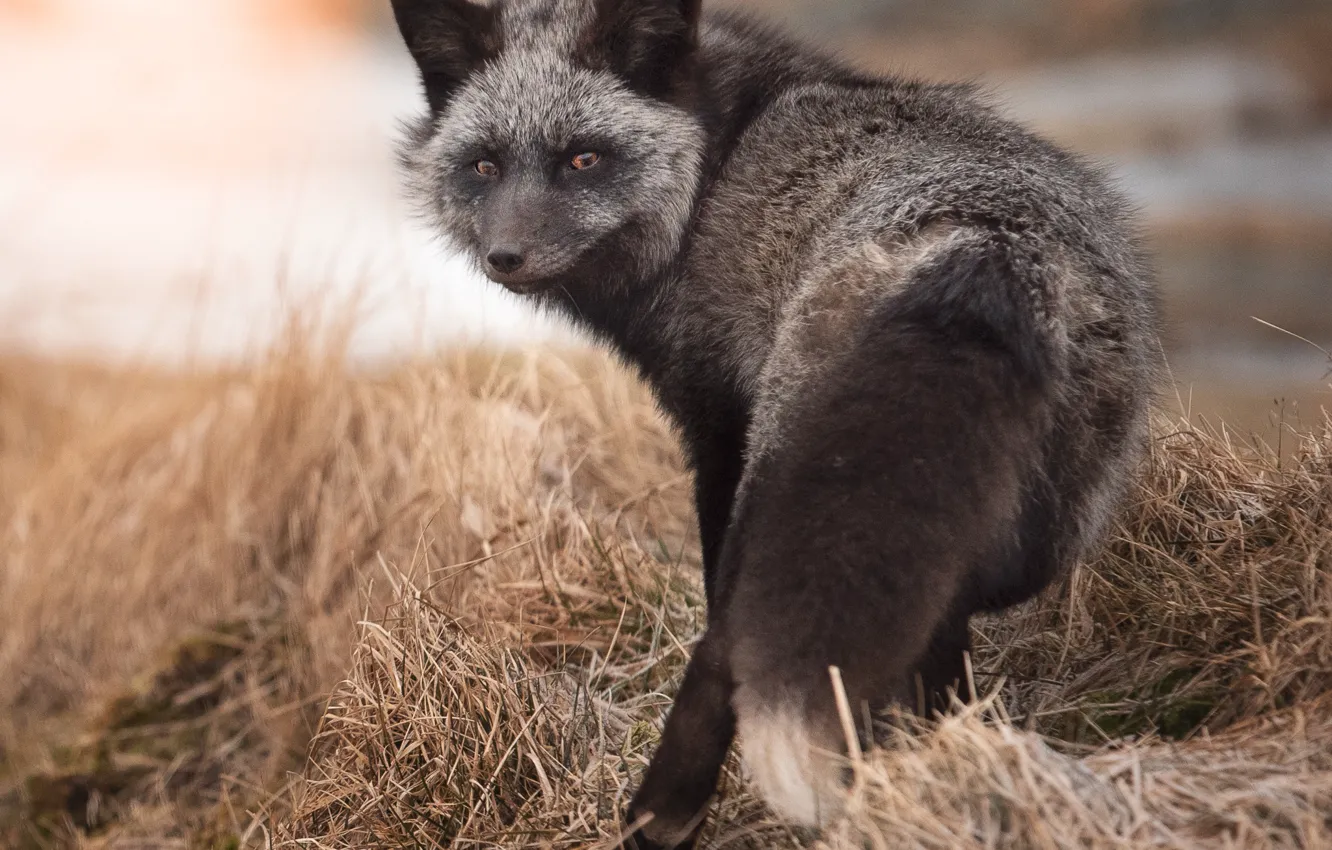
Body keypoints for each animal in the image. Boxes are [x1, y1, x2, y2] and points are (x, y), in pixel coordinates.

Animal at [387, 0, 1161, 846]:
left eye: (583, 160)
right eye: (484, 166)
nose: (507, 256)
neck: (712, 169)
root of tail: (983, 248)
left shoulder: (718, 426)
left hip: (785, 486)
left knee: (728, 644)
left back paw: (660, 819)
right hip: (1038, 525)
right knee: (942, 620)